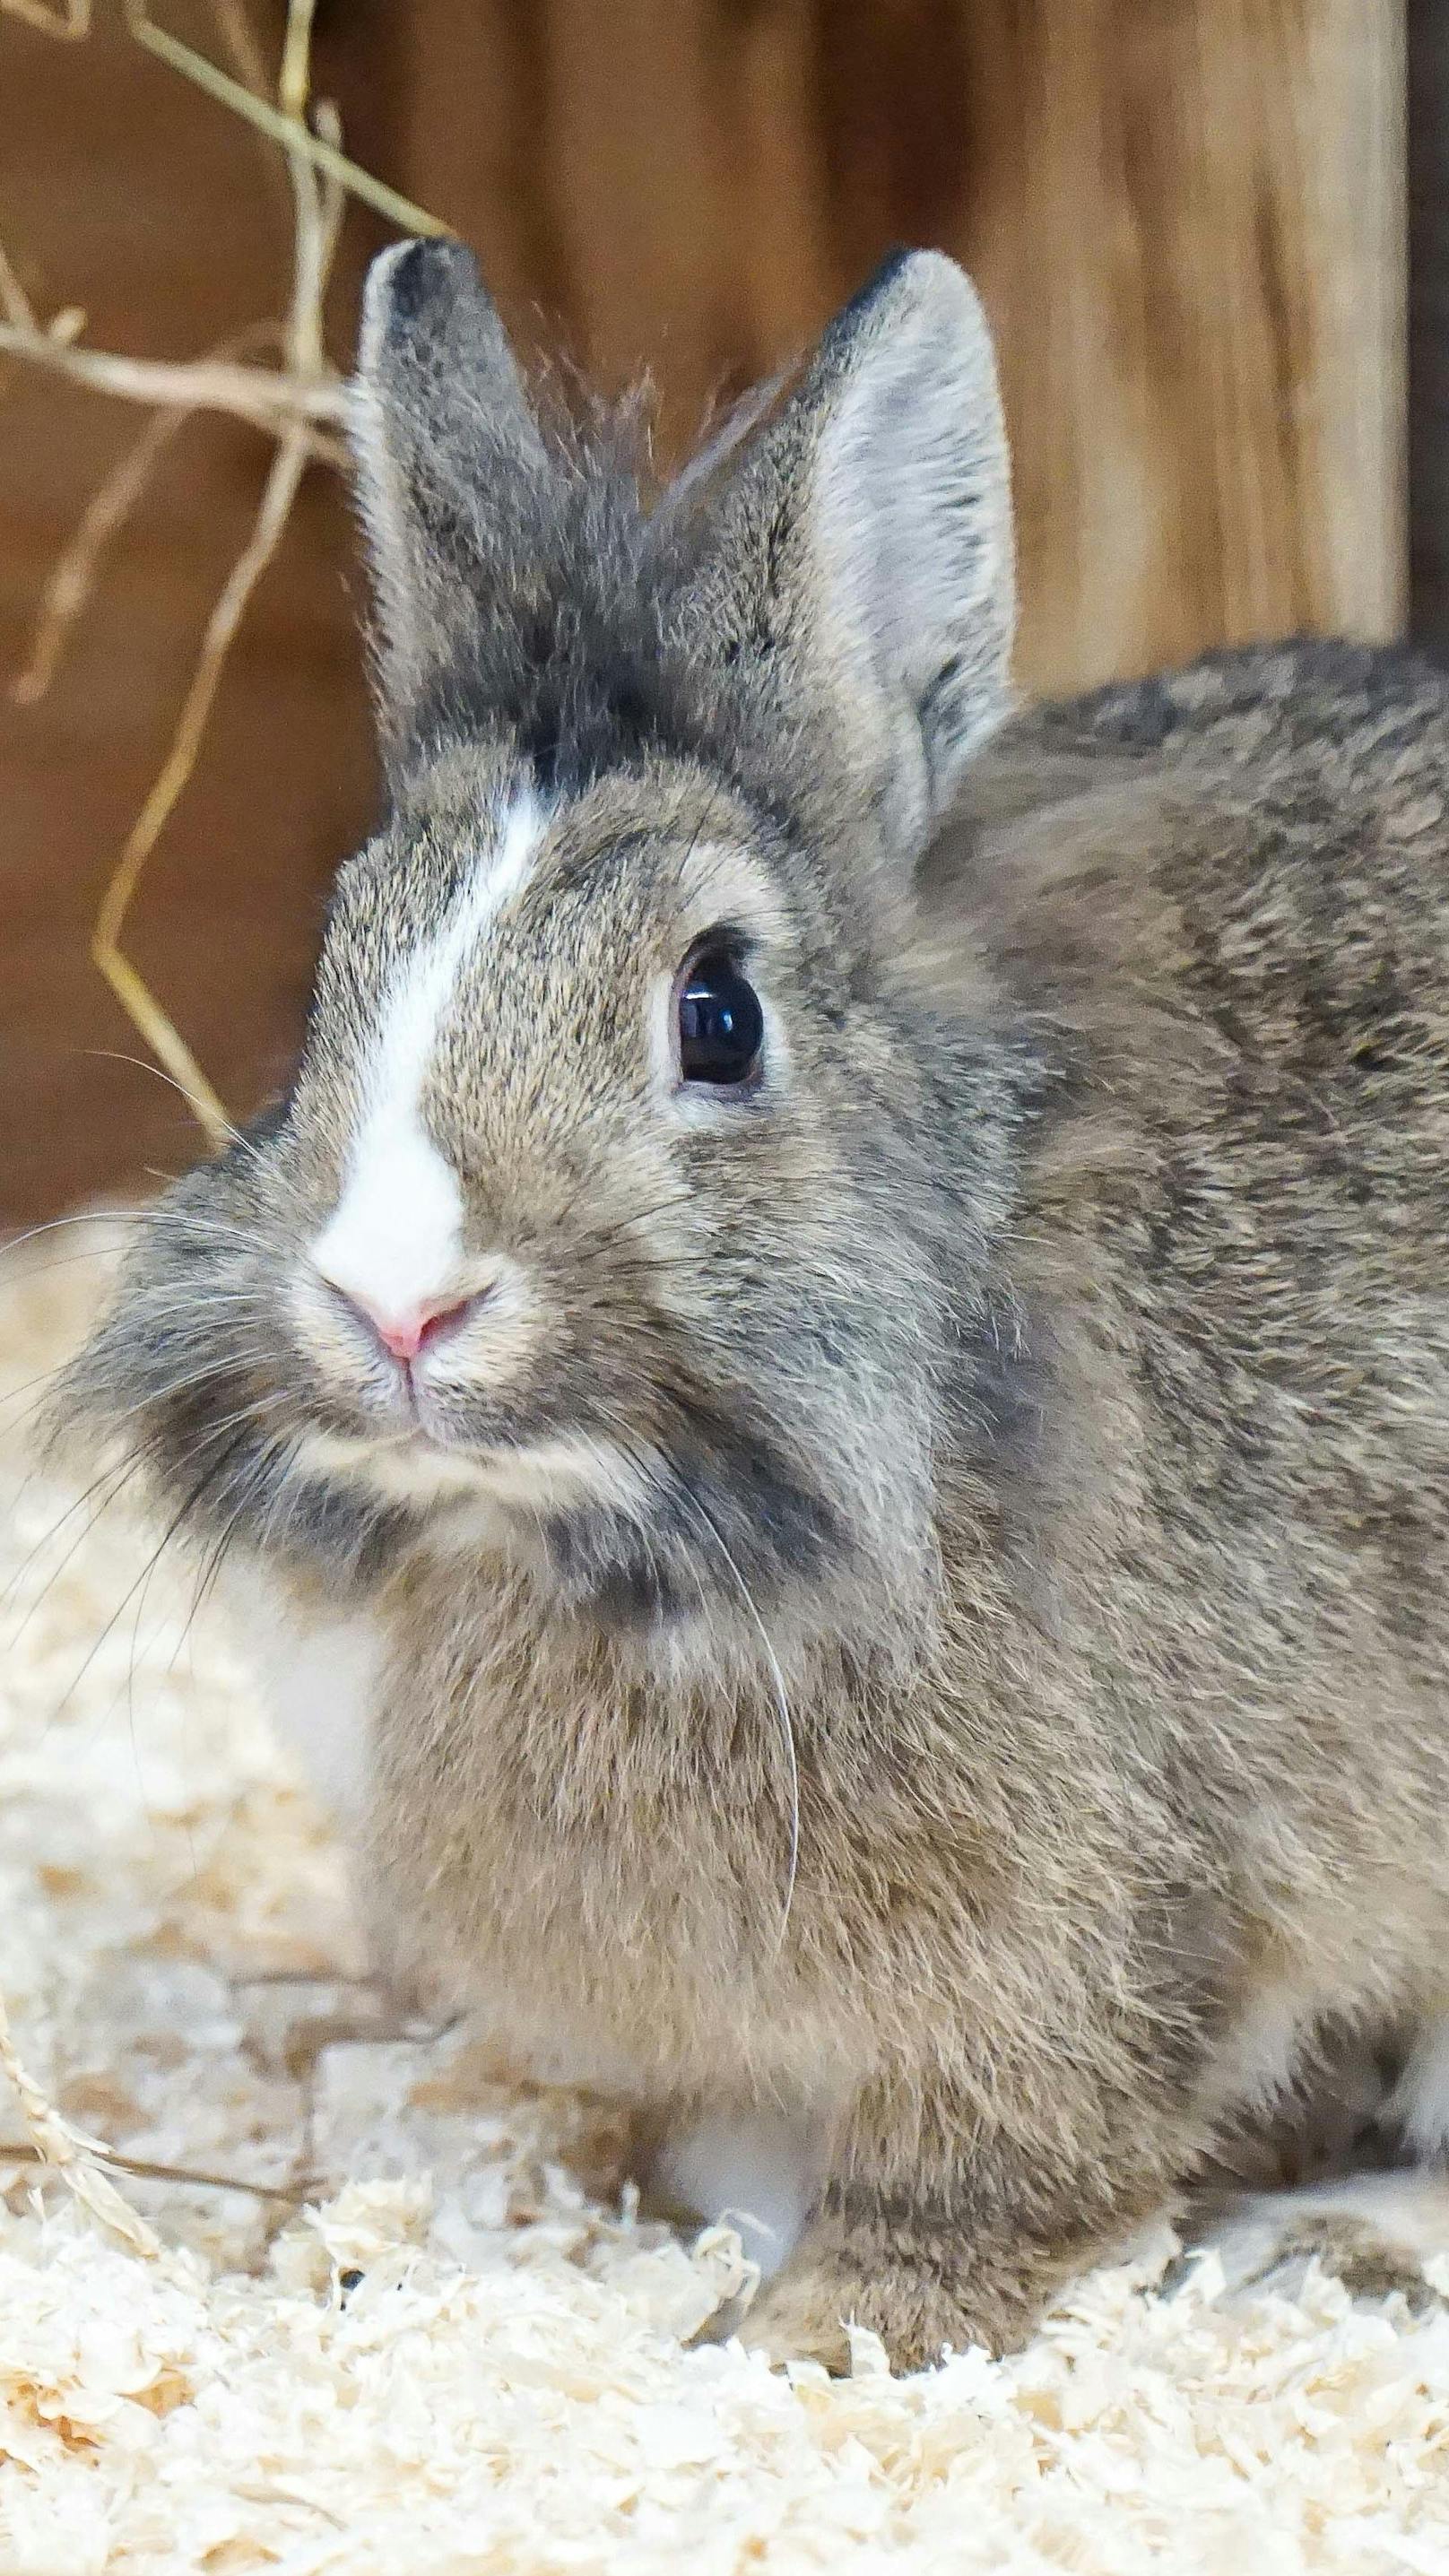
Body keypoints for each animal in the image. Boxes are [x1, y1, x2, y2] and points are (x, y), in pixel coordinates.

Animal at [56, 242, 1449, 2370]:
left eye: (718, 1012)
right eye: (327, 977)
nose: (395, 1307)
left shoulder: (1090, 1925)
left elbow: (1000, 2151)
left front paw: (824, 2334)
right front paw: (712, 2244)